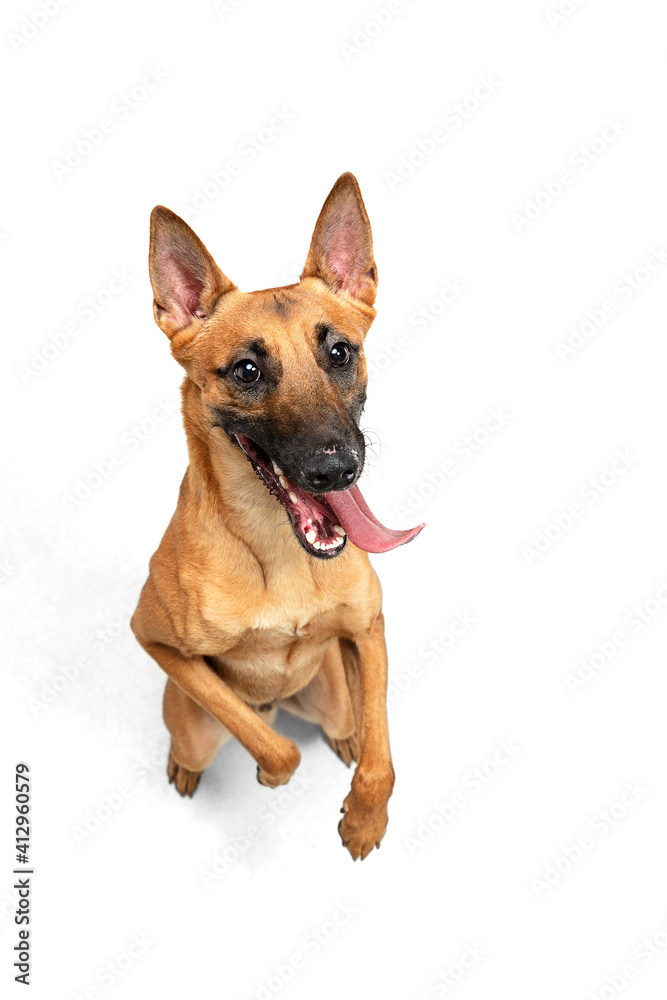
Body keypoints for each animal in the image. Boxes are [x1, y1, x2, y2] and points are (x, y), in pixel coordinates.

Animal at [130, 172, 422, 860]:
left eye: (340, 353)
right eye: (247, 370)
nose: (337, 469)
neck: (280, 553)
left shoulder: (368, 631)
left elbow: (383, 758)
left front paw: (365, 818)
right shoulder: (155, 641)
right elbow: (273, 747)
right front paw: (270, 770)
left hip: (335, 693)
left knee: (350, 720)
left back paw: (345, 739)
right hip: (190, 725)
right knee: (212, 736)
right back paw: (190, 766)